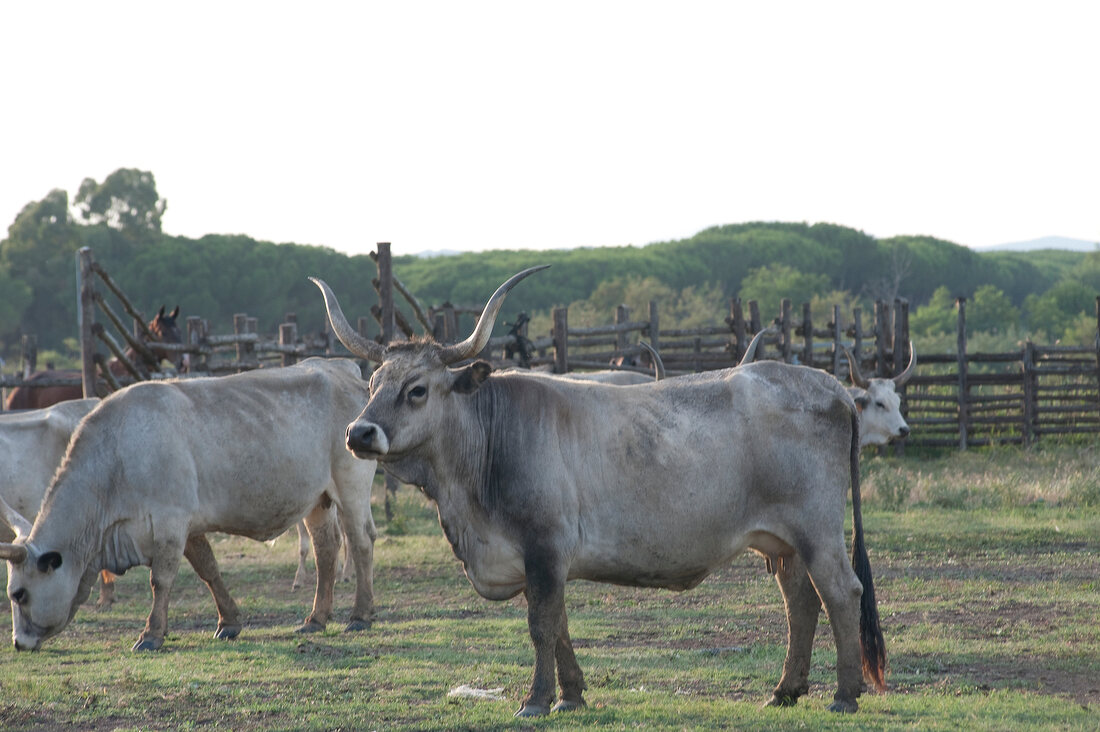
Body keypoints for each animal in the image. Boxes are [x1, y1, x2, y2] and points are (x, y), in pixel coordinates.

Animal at [312, 267, 884, 713]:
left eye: (417, 390)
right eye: (373, 384)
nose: (359, 433)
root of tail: (829, 386)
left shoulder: (545, 547)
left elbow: (542, 625)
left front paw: (536, 700)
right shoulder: (541, 559)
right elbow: (560, 624)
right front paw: (571, 695)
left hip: (817, 531)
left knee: (841, 593)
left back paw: (844, 694)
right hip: (782, 541)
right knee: (801, 601)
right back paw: (786, 690)